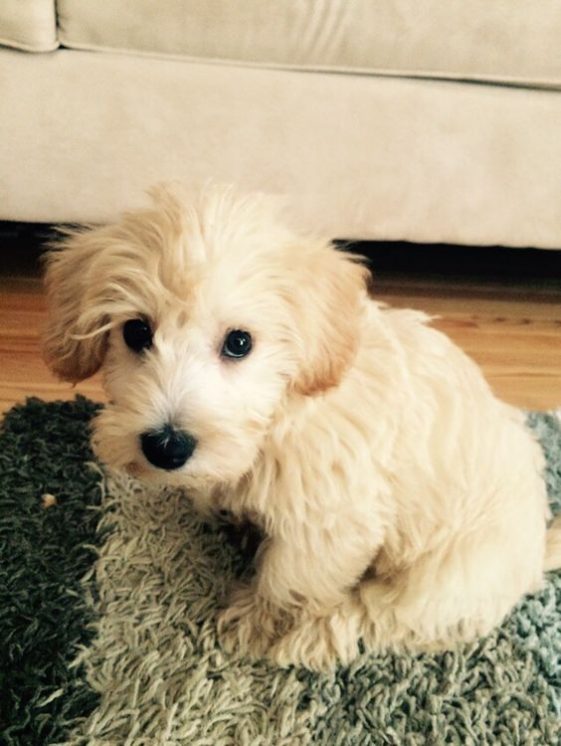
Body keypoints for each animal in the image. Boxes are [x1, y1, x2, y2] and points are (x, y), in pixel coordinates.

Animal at [43, 185, 560, 668]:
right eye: (135, 331)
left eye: (239, 342)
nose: (167, 447)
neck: (280, 412)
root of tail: (536, 549)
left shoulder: (333, 521)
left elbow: (289, 578)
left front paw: (257, 621)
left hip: (443, 579)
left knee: (383, 614)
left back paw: (314, 638)